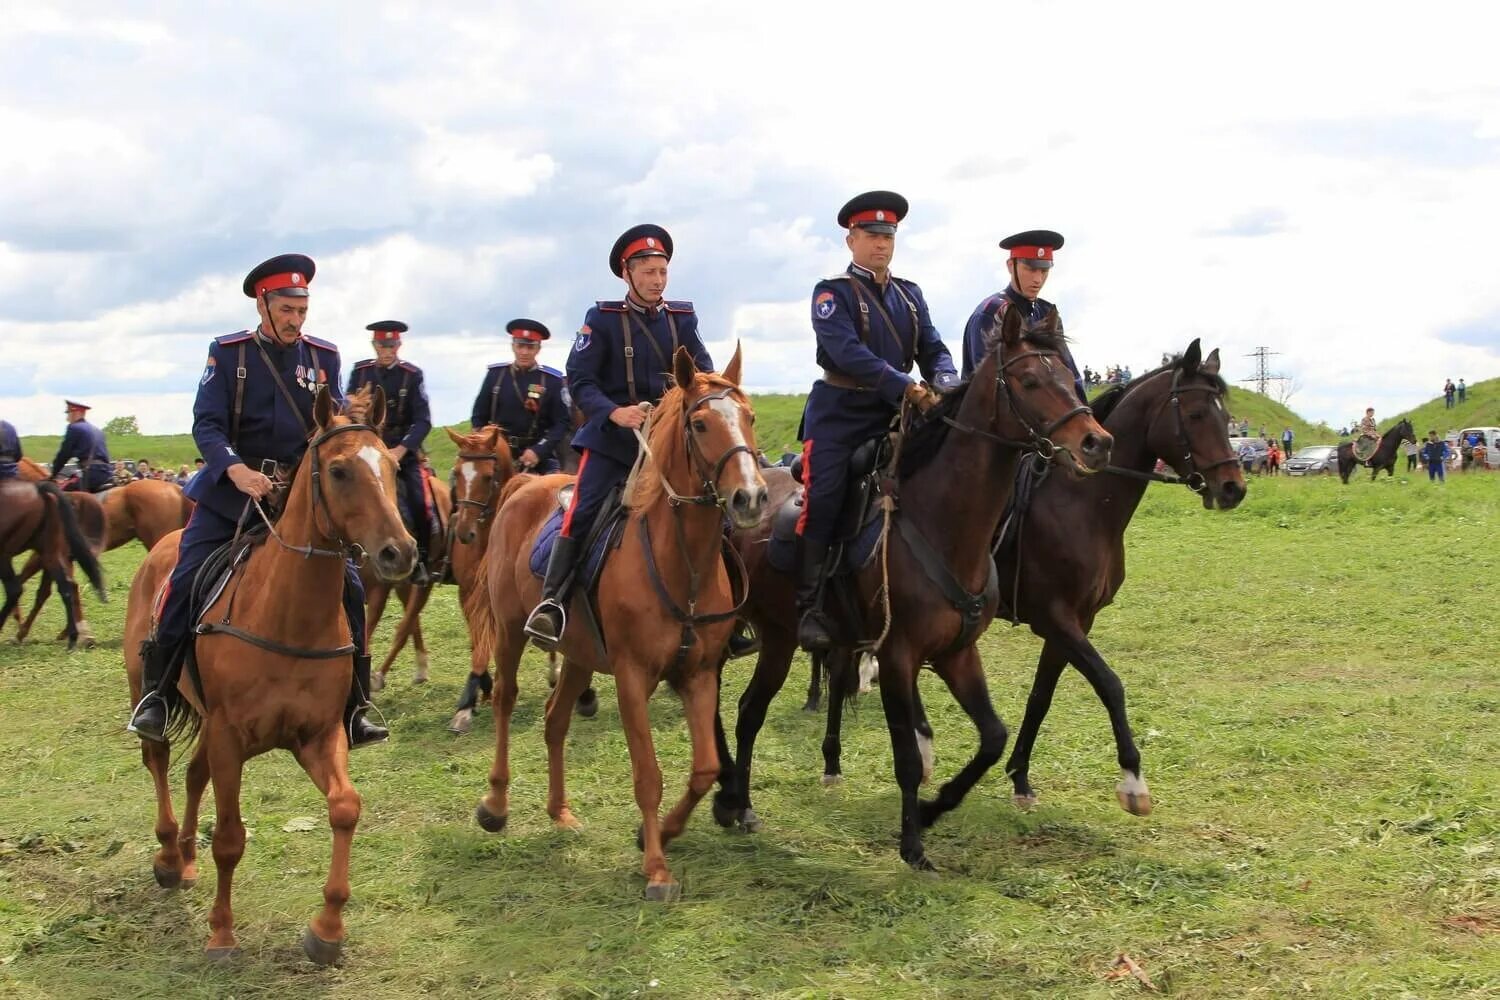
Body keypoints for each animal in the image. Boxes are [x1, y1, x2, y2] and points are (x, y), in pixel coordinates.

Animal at [123, 386, 414, 965]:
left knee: (193, 774)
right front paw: (221, 933)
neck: (287, 614)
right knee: (158, 758)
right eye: (340, 470)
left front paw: (327, 930)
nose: (401, 552)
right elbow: (230, 838)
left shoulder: (318, 735)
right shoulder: (231, 738)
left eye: (394, 467)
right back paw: (168, 855)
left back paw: (186, 857)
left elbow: (345, 807)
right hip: (148, 692)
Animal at [465, 347, 768, 905]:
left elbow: (705, 768)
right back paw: (494, 806)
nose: (751, 499)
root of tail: (523, 486)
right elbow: (648, 774)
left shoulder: (698, 675)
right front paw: (657, 870)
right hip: (512, 632)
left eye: (750, 418)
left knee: (554, 719)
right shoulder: (632, 677)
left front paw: (661, 834)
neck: (682, 562)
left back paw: (560, 812)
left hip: (579, 655)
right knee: (505, 703)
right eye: (700, 424)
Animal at [714, 302, 1116, 869]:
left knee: (752, 710)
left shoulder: (956, 652)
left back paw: (741, 806)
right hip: (777, 636)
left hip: (787, 640)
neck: (944, 524)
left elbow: (993, 737)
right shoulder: (899, 655)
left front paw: (932, 809)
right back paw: (738, 803)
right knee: (748, 711)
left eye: (1070, 376)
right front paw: (912, 843)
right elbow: (905, 755)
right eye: (1030, 380)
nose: (1096, 443)